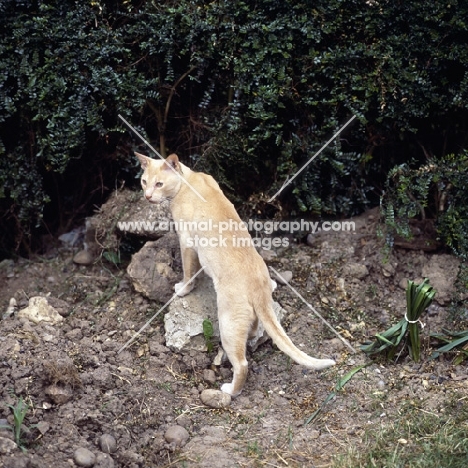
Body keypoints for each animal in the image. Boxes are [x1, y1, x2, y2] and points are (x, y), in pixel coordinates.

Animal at [135, 153, 336, 394]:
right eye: (144, 182)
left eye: (159, 184)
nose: (147, 196)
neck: (188, 180)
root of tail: (260, 285)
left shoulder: (186, 242)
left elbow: (187, 273)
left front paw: (182, 289)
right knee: (253, 332)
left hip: (227, 325)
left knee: (241, 364)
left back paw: (230, 390)